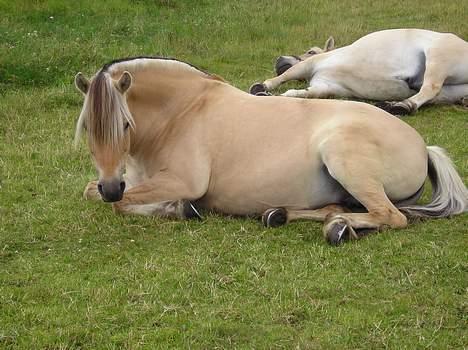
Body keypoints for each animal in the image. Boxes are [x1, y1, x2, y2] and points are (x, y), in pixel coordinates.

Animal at [250, 28, 468, 115]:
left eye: (311, 50)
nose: (279, 59)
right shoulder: (325, 86)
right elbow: (299, 94)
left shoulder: (312, 63)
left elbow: (286, 75)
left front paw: (261, 86)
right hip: (450, 89)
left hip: (437, 57)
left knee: (430, 88)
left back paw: (401, 106)